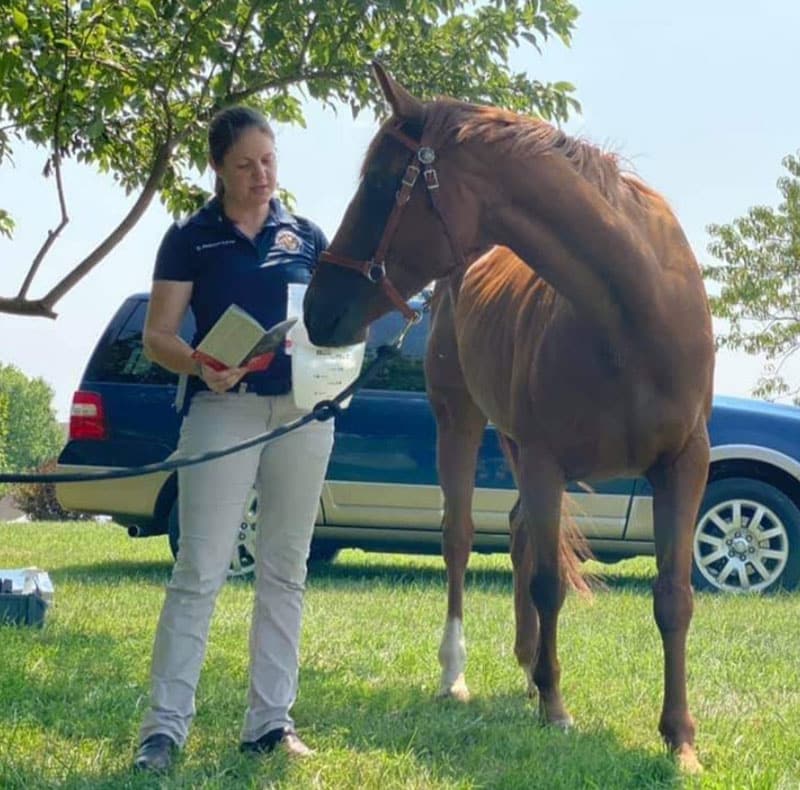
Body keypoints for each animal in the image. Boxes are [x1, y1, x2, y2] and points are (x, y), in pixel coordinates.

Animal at [303, 62, 714, 773]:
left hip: (517, 445)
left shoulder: (683, 464)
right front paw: (557, 708)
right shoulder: (548, 460)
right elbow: (549, 583)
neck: (635, 316)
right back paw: (459, 675)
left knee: (520, 532)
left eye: (382, 183)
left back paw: (528, 667)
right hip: (462, 422)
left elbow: (674, 596)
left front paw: (679, 740)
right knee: (461, 538)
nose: (314, 308)